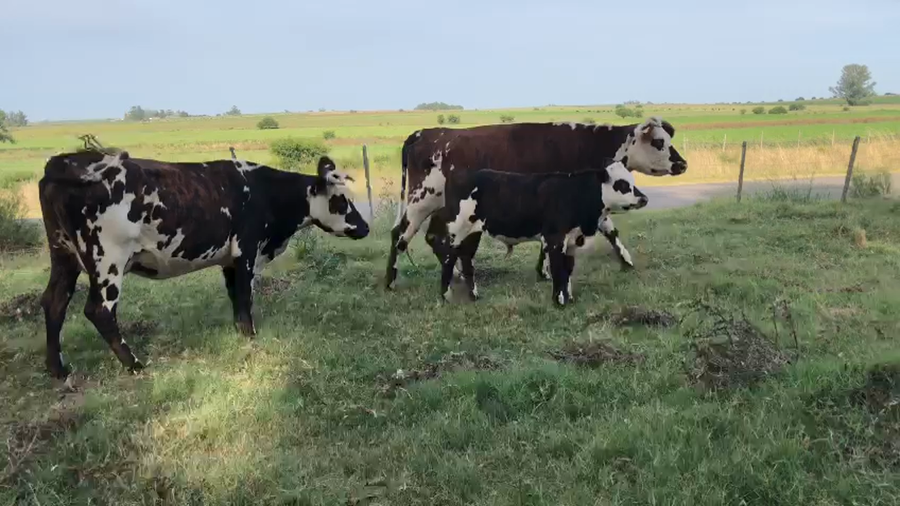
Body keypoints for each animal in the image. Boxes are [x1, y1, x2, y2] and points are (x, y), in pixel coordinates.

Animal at [37, 149, 369, 379]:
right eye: (341, 200)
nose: (365, 227)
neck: (264, 192)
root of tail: (64, 162)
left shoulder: (230, 260)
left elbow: (236, 300)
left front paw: (240, 335)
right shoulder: (247, 252)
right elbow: (245, 298)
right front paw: (251, 337)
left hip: (63, 254)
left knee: (54, 301)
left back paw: (58, 369)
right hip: (108, 259)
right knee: (99, 311)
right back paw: (134, 364)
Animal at [384, 116, 687, 289]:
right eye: (659, 142)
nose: (682, 164)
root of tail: (423, 133)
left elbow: (609, 230)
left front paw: (626, 261)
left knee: (433, 238)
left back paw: (457, 274)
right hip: (421, 200)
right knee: (400, 234)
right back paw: (391, 281)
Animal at [436, 160, 648, 306]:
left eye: (632, 181)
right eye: (622, 184)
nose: (644, 199)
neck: (575, 194)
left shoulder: (572, 241)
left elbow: (567, 269)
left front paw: (569, 298)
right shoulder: (555, 239)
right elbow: (558, 269)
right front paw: (559, 301)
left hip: (473, 233)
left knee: (466, 260)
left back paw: (473, 295)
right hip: (457, 231)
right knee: (448, 258)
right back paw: (446, 296)